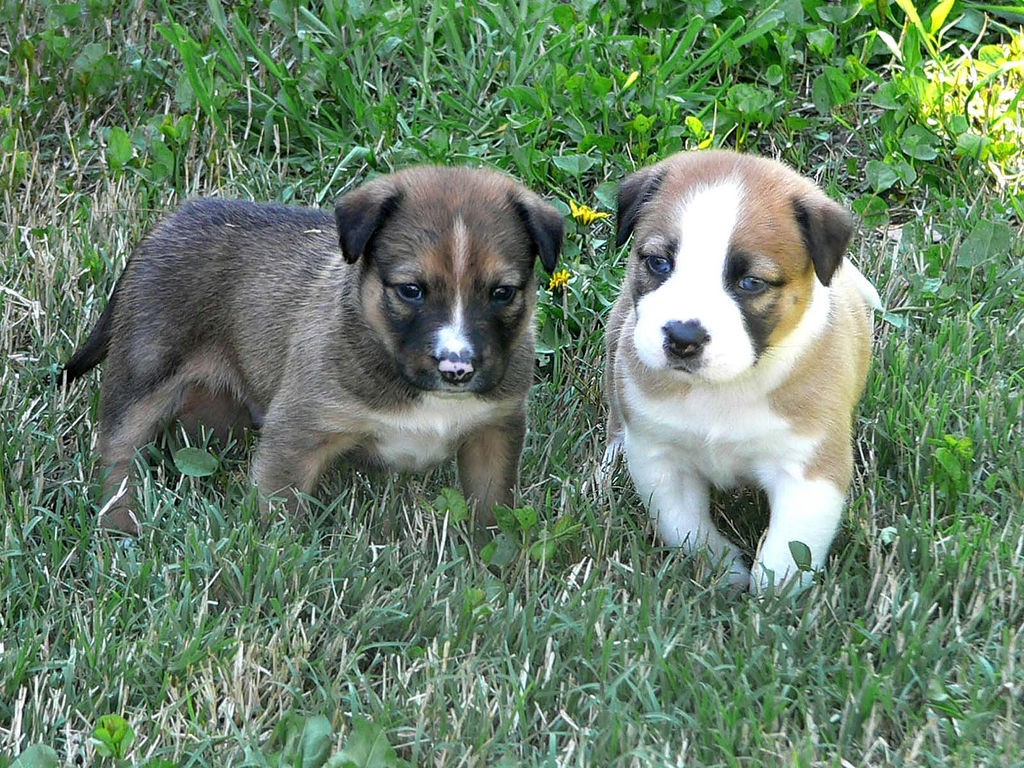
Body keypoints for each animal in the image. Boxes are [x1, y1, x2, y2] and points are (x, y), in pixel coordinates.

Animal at [65, 167, 565, 536]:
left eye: (502, 293)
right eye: (411, 290)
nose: (456, 369)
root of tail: (167, 224)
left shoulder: (495, 430)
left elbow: (492, 509)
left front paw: (491, 564)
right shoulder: (297, 432)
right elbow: (277, 515)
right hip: (144, 368)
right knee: (119, 451)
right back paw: (120, 520)